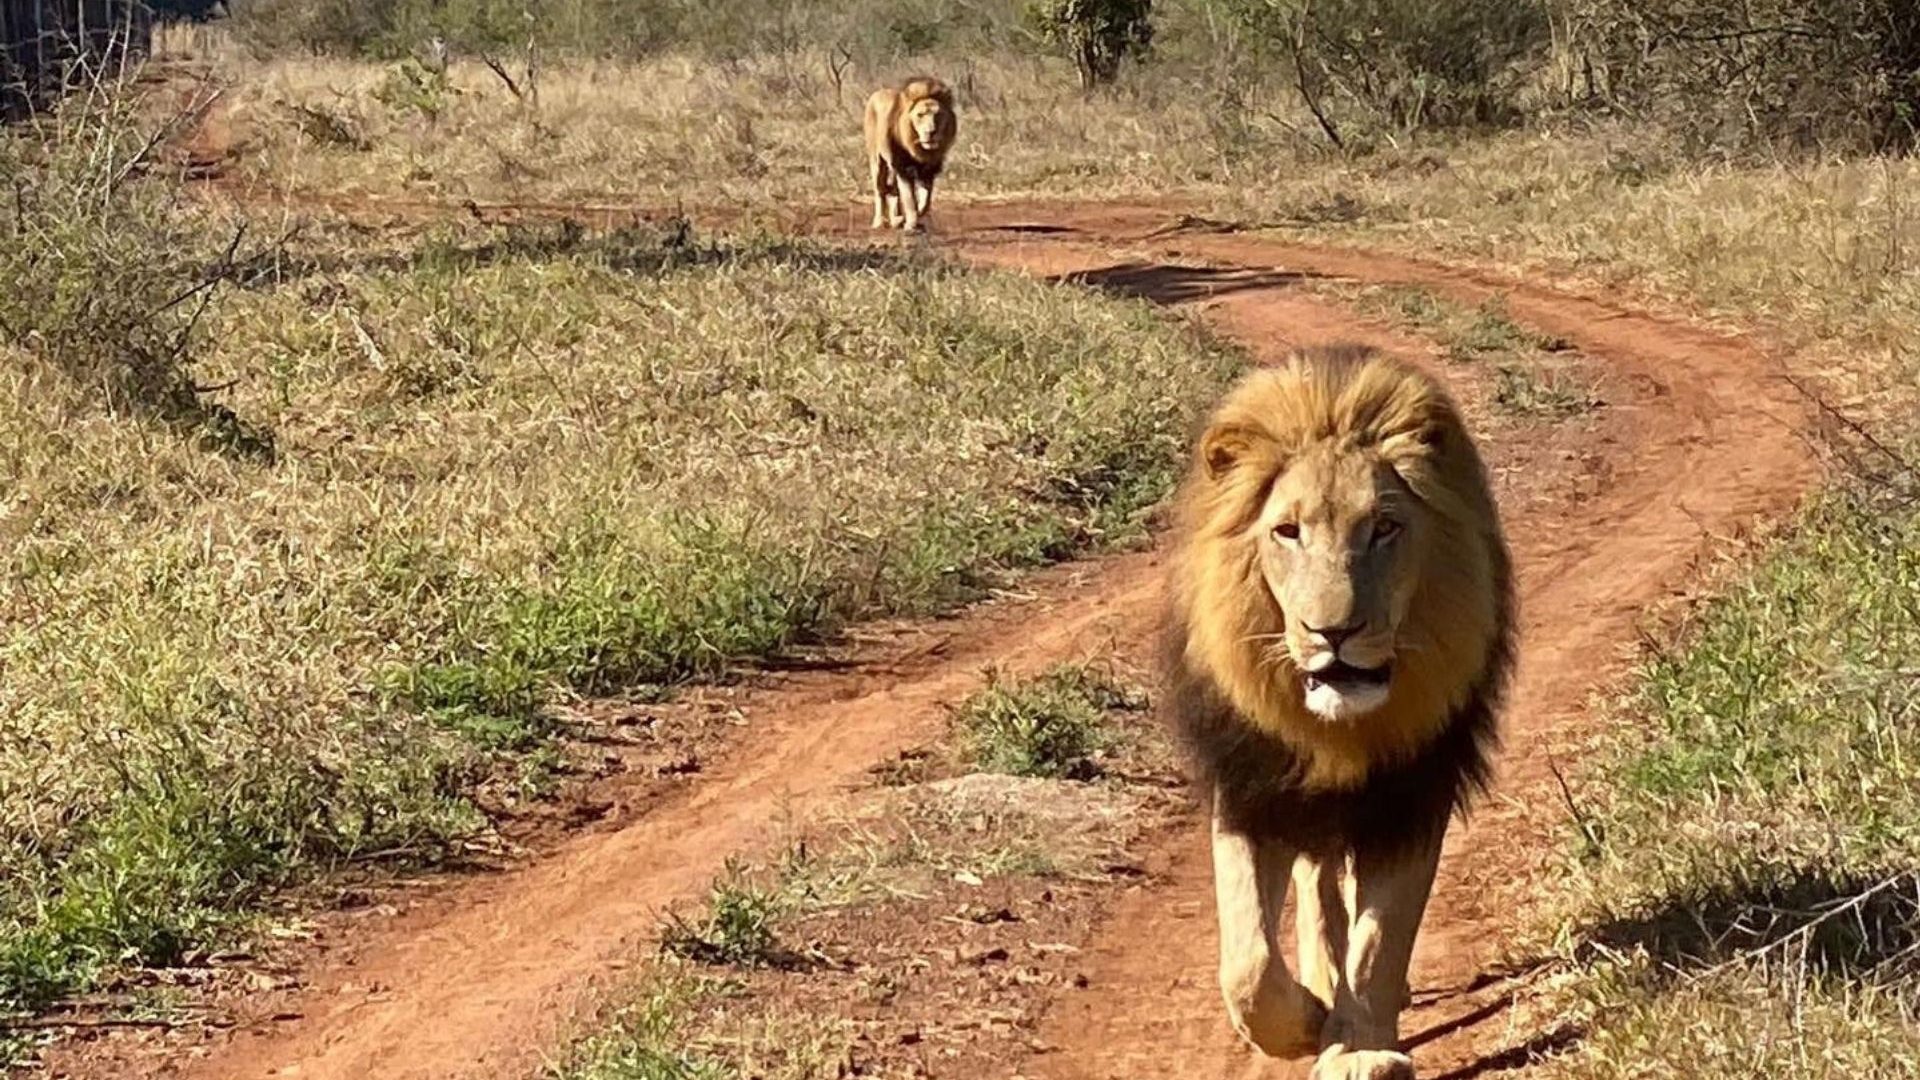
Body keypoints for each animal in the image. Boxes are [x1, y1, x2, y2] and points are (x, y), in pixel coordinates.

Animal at [863, 76, 957, 232]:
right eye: (920, 115)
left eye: (938, 115)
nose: (931, 132)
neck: (919, 149)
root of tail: (876, 94)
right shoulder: (903, 168)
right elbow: (909, 198)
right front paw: (911, 224)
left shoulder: (928, 171)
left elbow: (925, 201)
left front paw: (913, 217)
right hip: (877, 161)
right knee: (880, 192)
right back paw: (880, 222)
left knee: (894, 192)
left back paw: (896, 219)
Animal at [1162, 344, 1514, 1080]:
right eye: (1286, 532)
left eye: (1384, 528)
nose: (1335, 632)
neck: (1346, 729)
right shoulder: (1253, 787)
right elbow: (1247, 965)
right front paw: (1303, 1023)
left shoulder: (1413, 795)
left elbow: (1381, 940)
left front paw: (1360, 1050)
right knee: (1316, 885)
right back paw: (1322, 985)